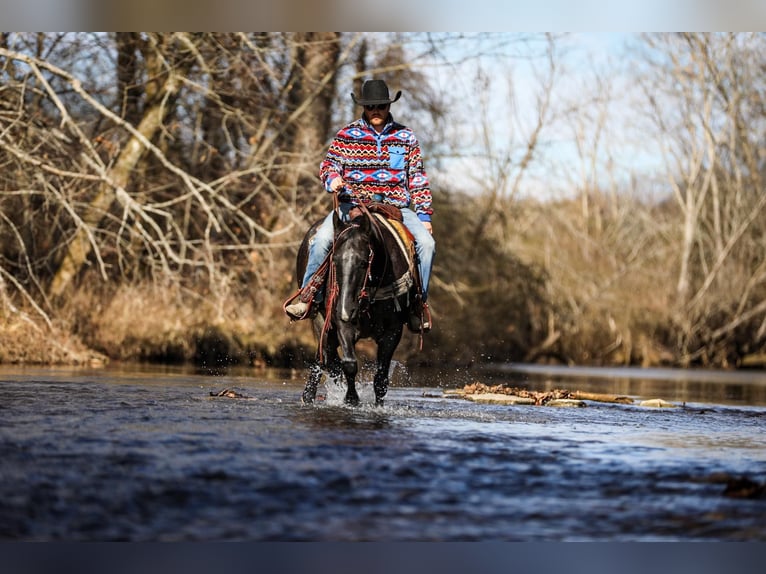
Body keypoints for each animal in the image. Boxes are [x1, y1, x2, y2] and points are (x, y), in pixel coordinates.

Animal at [296, 205, 420, 408]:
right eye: (334, 260)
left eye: (363, 262)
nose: (346, 309)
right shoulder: (341, 323)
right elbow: (349, 363)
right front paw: (351, 399)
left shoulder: (393, 330)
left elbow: (381, 378)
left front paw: (377, 406)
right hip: (321, 319)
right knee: (323, 357)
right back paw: (308, 396)